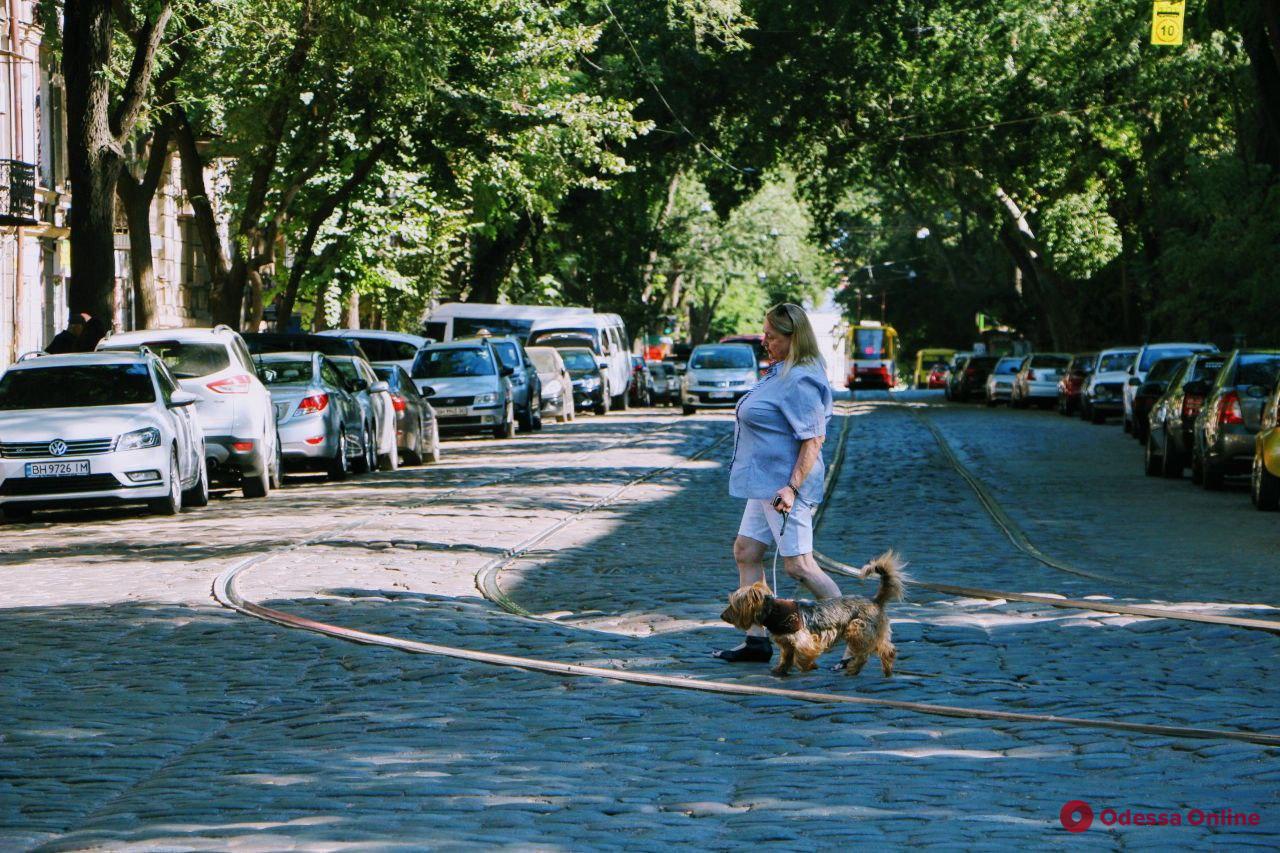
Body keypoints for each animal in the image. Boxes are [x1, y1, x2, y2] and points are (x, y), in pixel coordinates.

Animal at [721, 550, 911, 676]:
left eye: (733, 605)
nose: (722, 616)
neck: (773, 611)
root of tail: (875, 600)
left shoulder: (803, 639)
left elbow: (803, 655)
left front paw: (809, 666)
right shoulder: (787, 643)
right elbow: (787, 657)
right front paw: (780, 670)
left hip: (857, 629)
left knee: (864, 653)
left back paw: (852, 668)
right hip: (873, 632)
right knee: (886, 649)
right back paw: (886, 669)